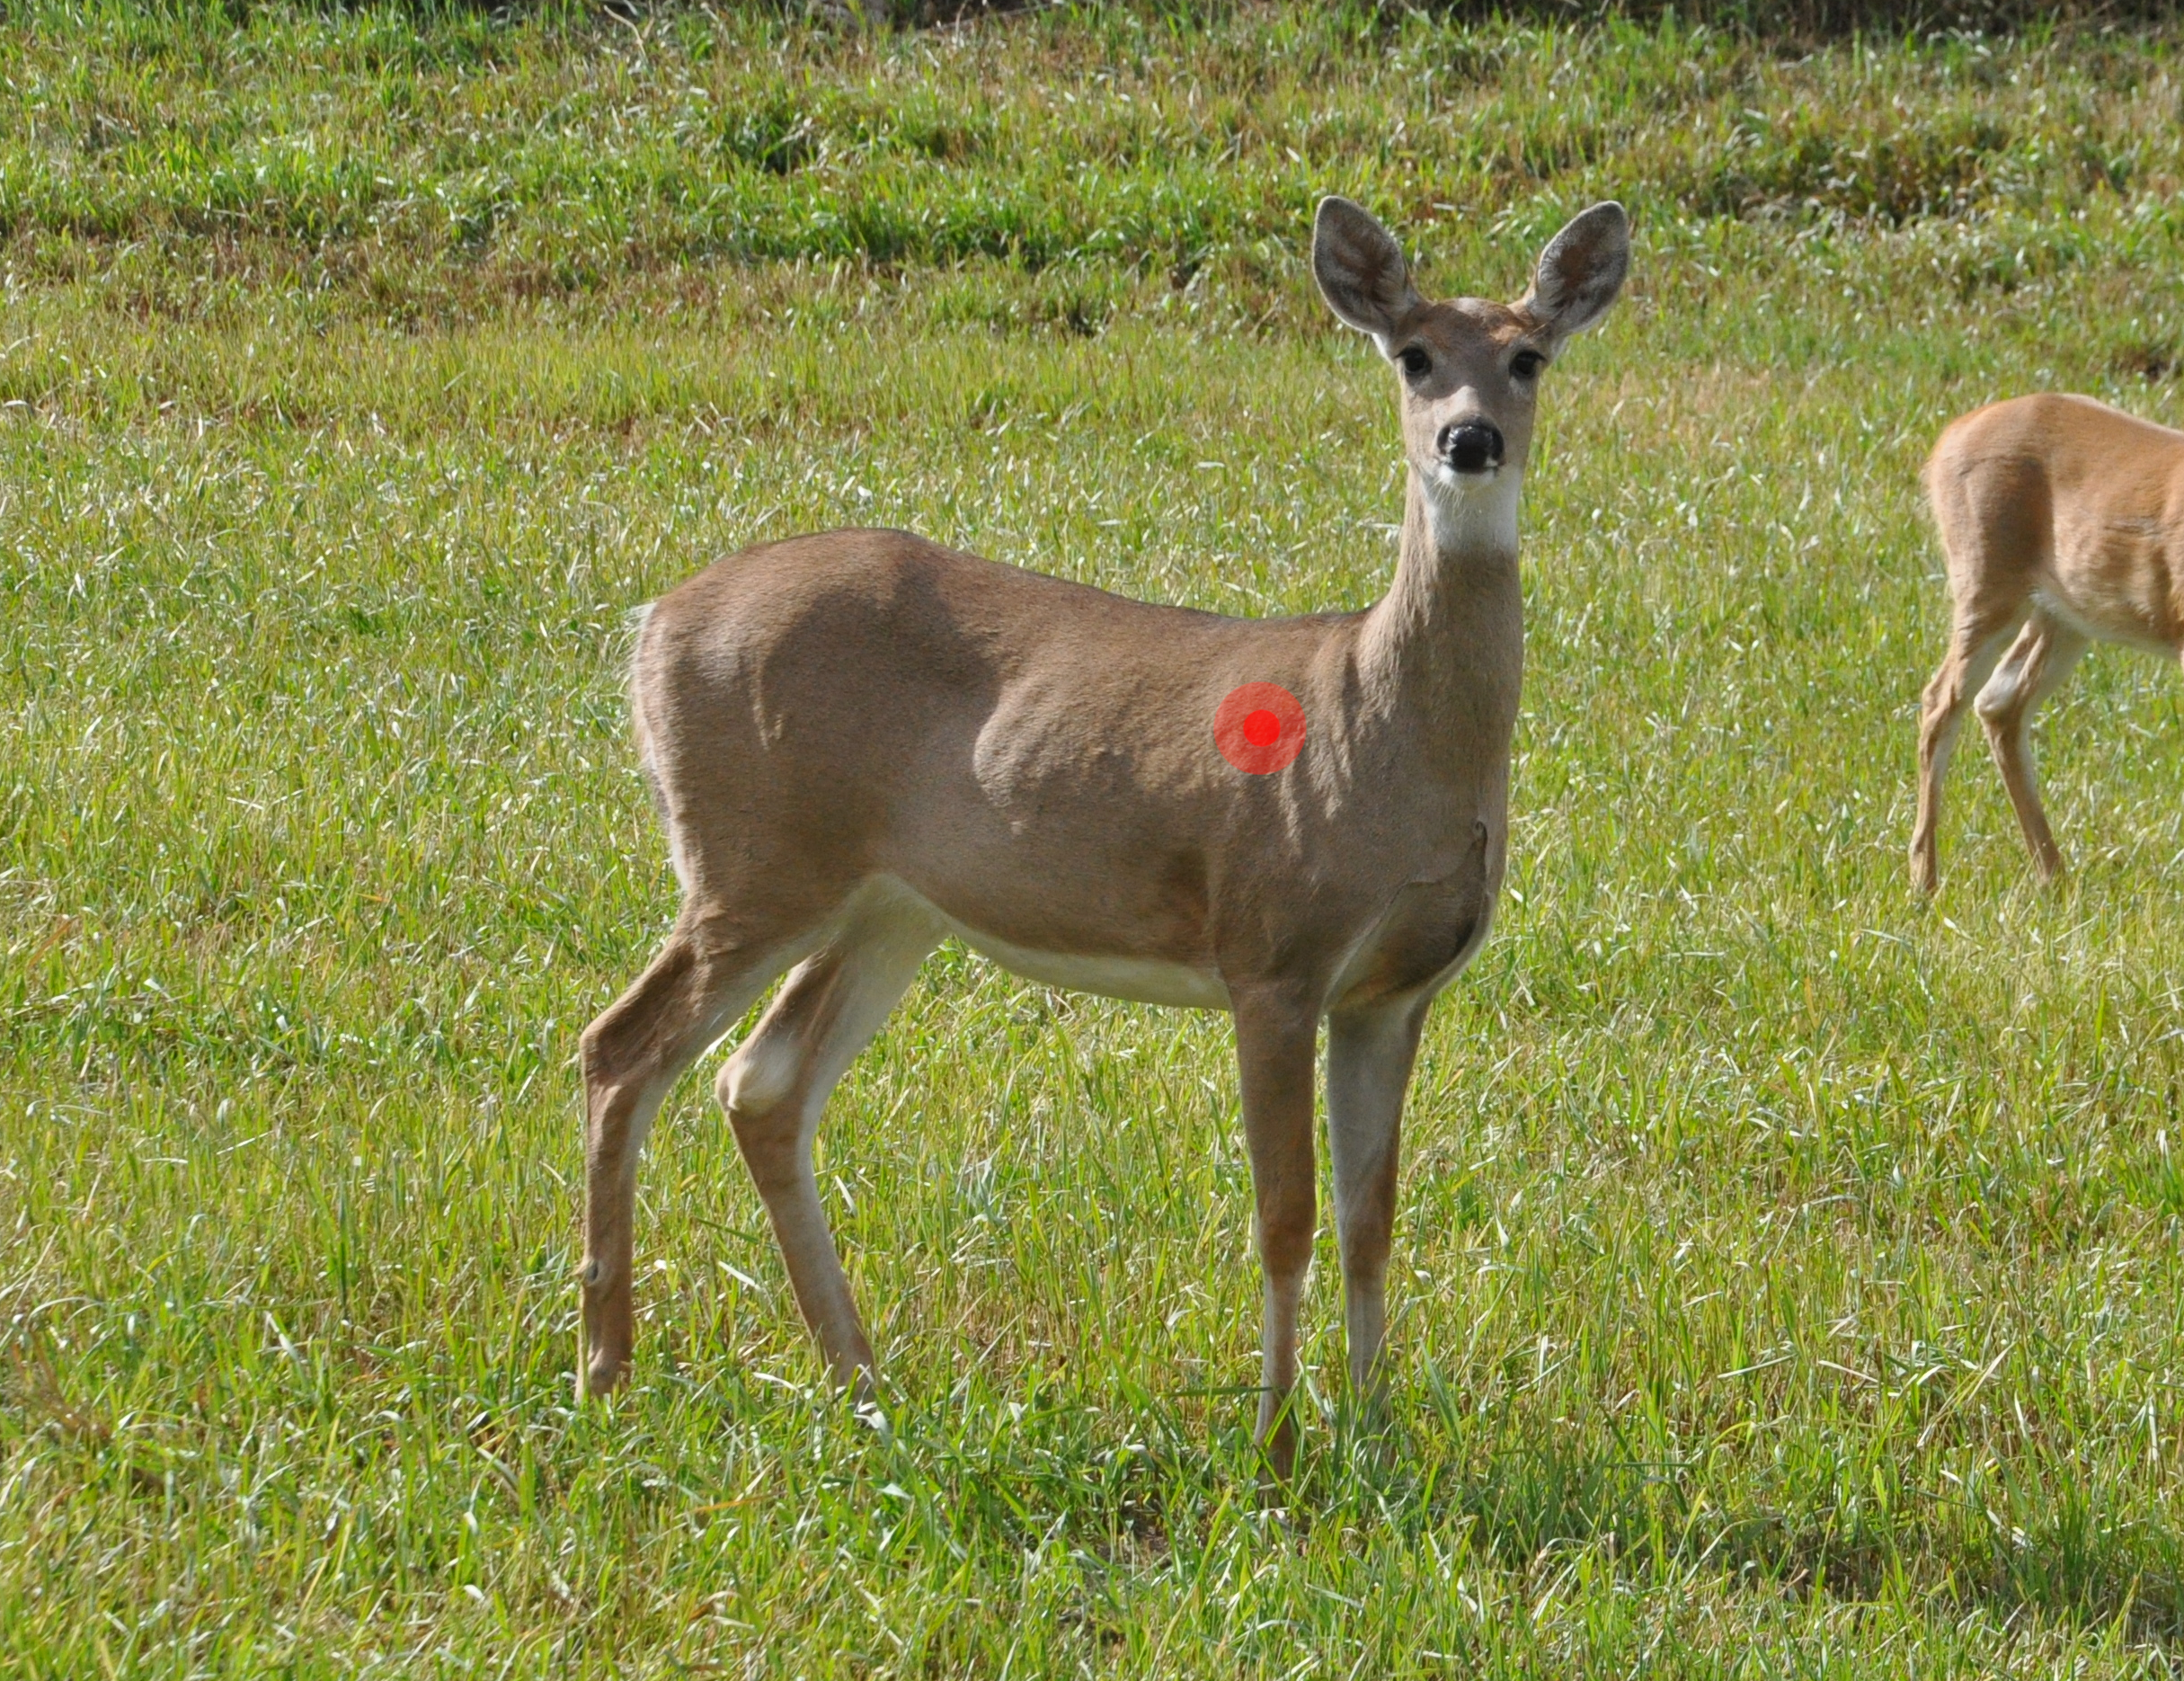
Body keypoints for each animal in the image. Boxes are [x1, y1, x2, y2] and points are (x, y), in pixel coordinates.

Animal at [572, 202, 1633, 1475]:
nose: (1468, 440)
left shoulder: (1393, 990)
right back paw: (606, 1370)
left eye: (1529, 357)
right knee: (621, 1047)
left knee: (759, 1081)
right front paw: (1277, 1449)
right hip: (753, 857)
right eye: (1413, 356)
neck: (1388, 731)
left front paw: (1376, 1438)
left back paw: (863, 1384)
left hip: (887, 905)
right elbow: (1286, 1215)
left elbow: (1372, 1217)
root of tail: (651, 625)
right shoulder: (1272, 949)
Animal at [1904, 390, 2184, 890]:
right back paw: (1925, 883)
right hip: (1987, 580)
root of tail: (1950, 435)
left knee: (1998, 701)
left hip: (2063, 612)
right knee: (1941, 700)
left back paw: (2054, 879)